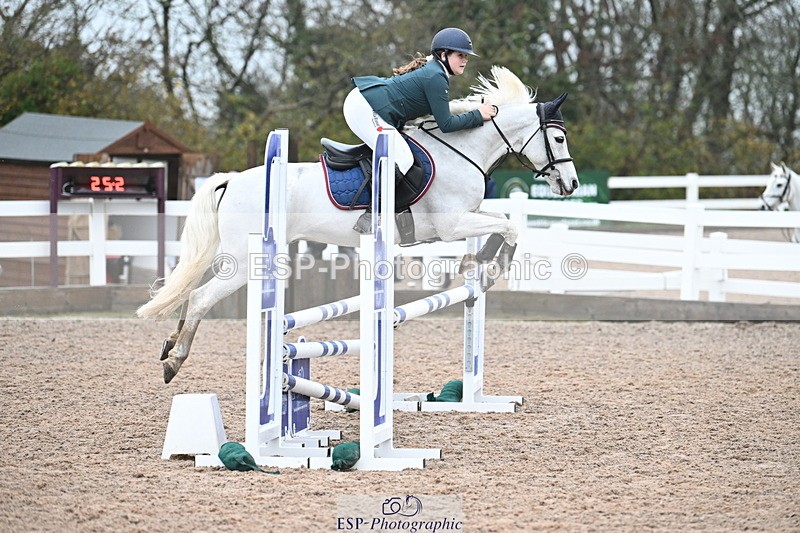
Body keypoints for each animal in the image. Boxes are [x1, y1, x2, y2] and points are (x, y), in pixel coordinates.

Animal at [137, 66, 580, 384]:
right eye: (558, 140)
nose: (571, 184)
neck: (461, 150)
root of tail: (231, 179)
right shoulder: (450, 225)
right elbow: (509, 227)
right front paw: (488, 266)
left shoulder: (460, 222)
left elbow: (501, 221)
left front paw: (478, 263)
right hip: (246, 261)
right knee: (200, 297)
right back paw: (174, 360)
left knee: (191, 293)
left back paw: (169, 345)